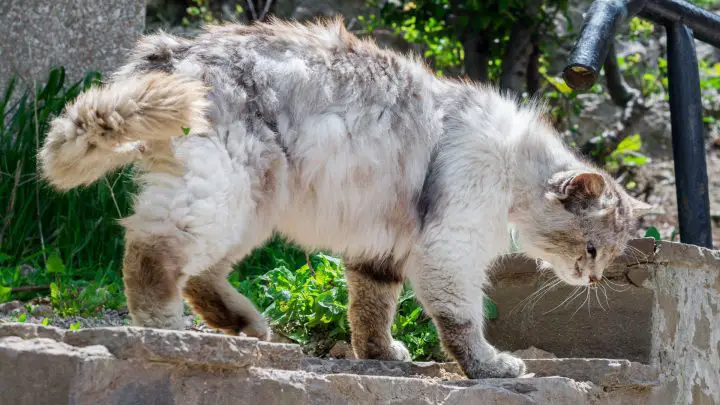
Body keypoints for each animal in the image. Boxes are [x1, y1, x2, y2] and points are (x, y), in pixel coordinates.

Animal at [38, 16, 652, 378]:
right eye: (592, 249)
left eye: (606, 256)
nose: (594, 279)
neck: (513, 167)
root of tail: (176, 50)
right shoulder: (450, 248)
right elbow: (461, 322)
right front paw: (490, 366)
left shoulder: (380, 250)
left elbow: (370, 309)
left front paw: (379, 355)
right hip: (222, 193)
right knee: (154, 254)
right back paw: (165, 328)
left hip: (250, 209)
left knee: (201, 274)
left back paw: (246, 325)